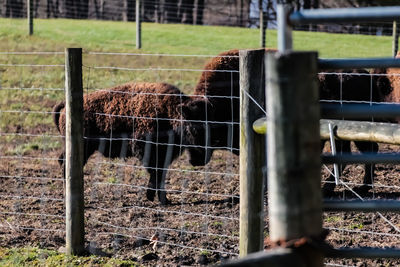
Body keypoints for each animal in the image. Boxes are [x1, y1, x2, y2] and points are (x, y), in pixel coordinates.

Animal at [54, 82, 214, 205]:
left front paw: (161, 199)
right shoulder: (149, 153)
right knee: (66, 164)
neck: (170, 113)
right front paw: (157, 199)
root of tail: (65, 105)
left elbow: (160, 175)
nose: (201, 160)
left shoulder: (163, 157)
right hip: (83, 148)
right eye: (194, 128)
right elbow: (156, 174)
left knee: (62, 161)